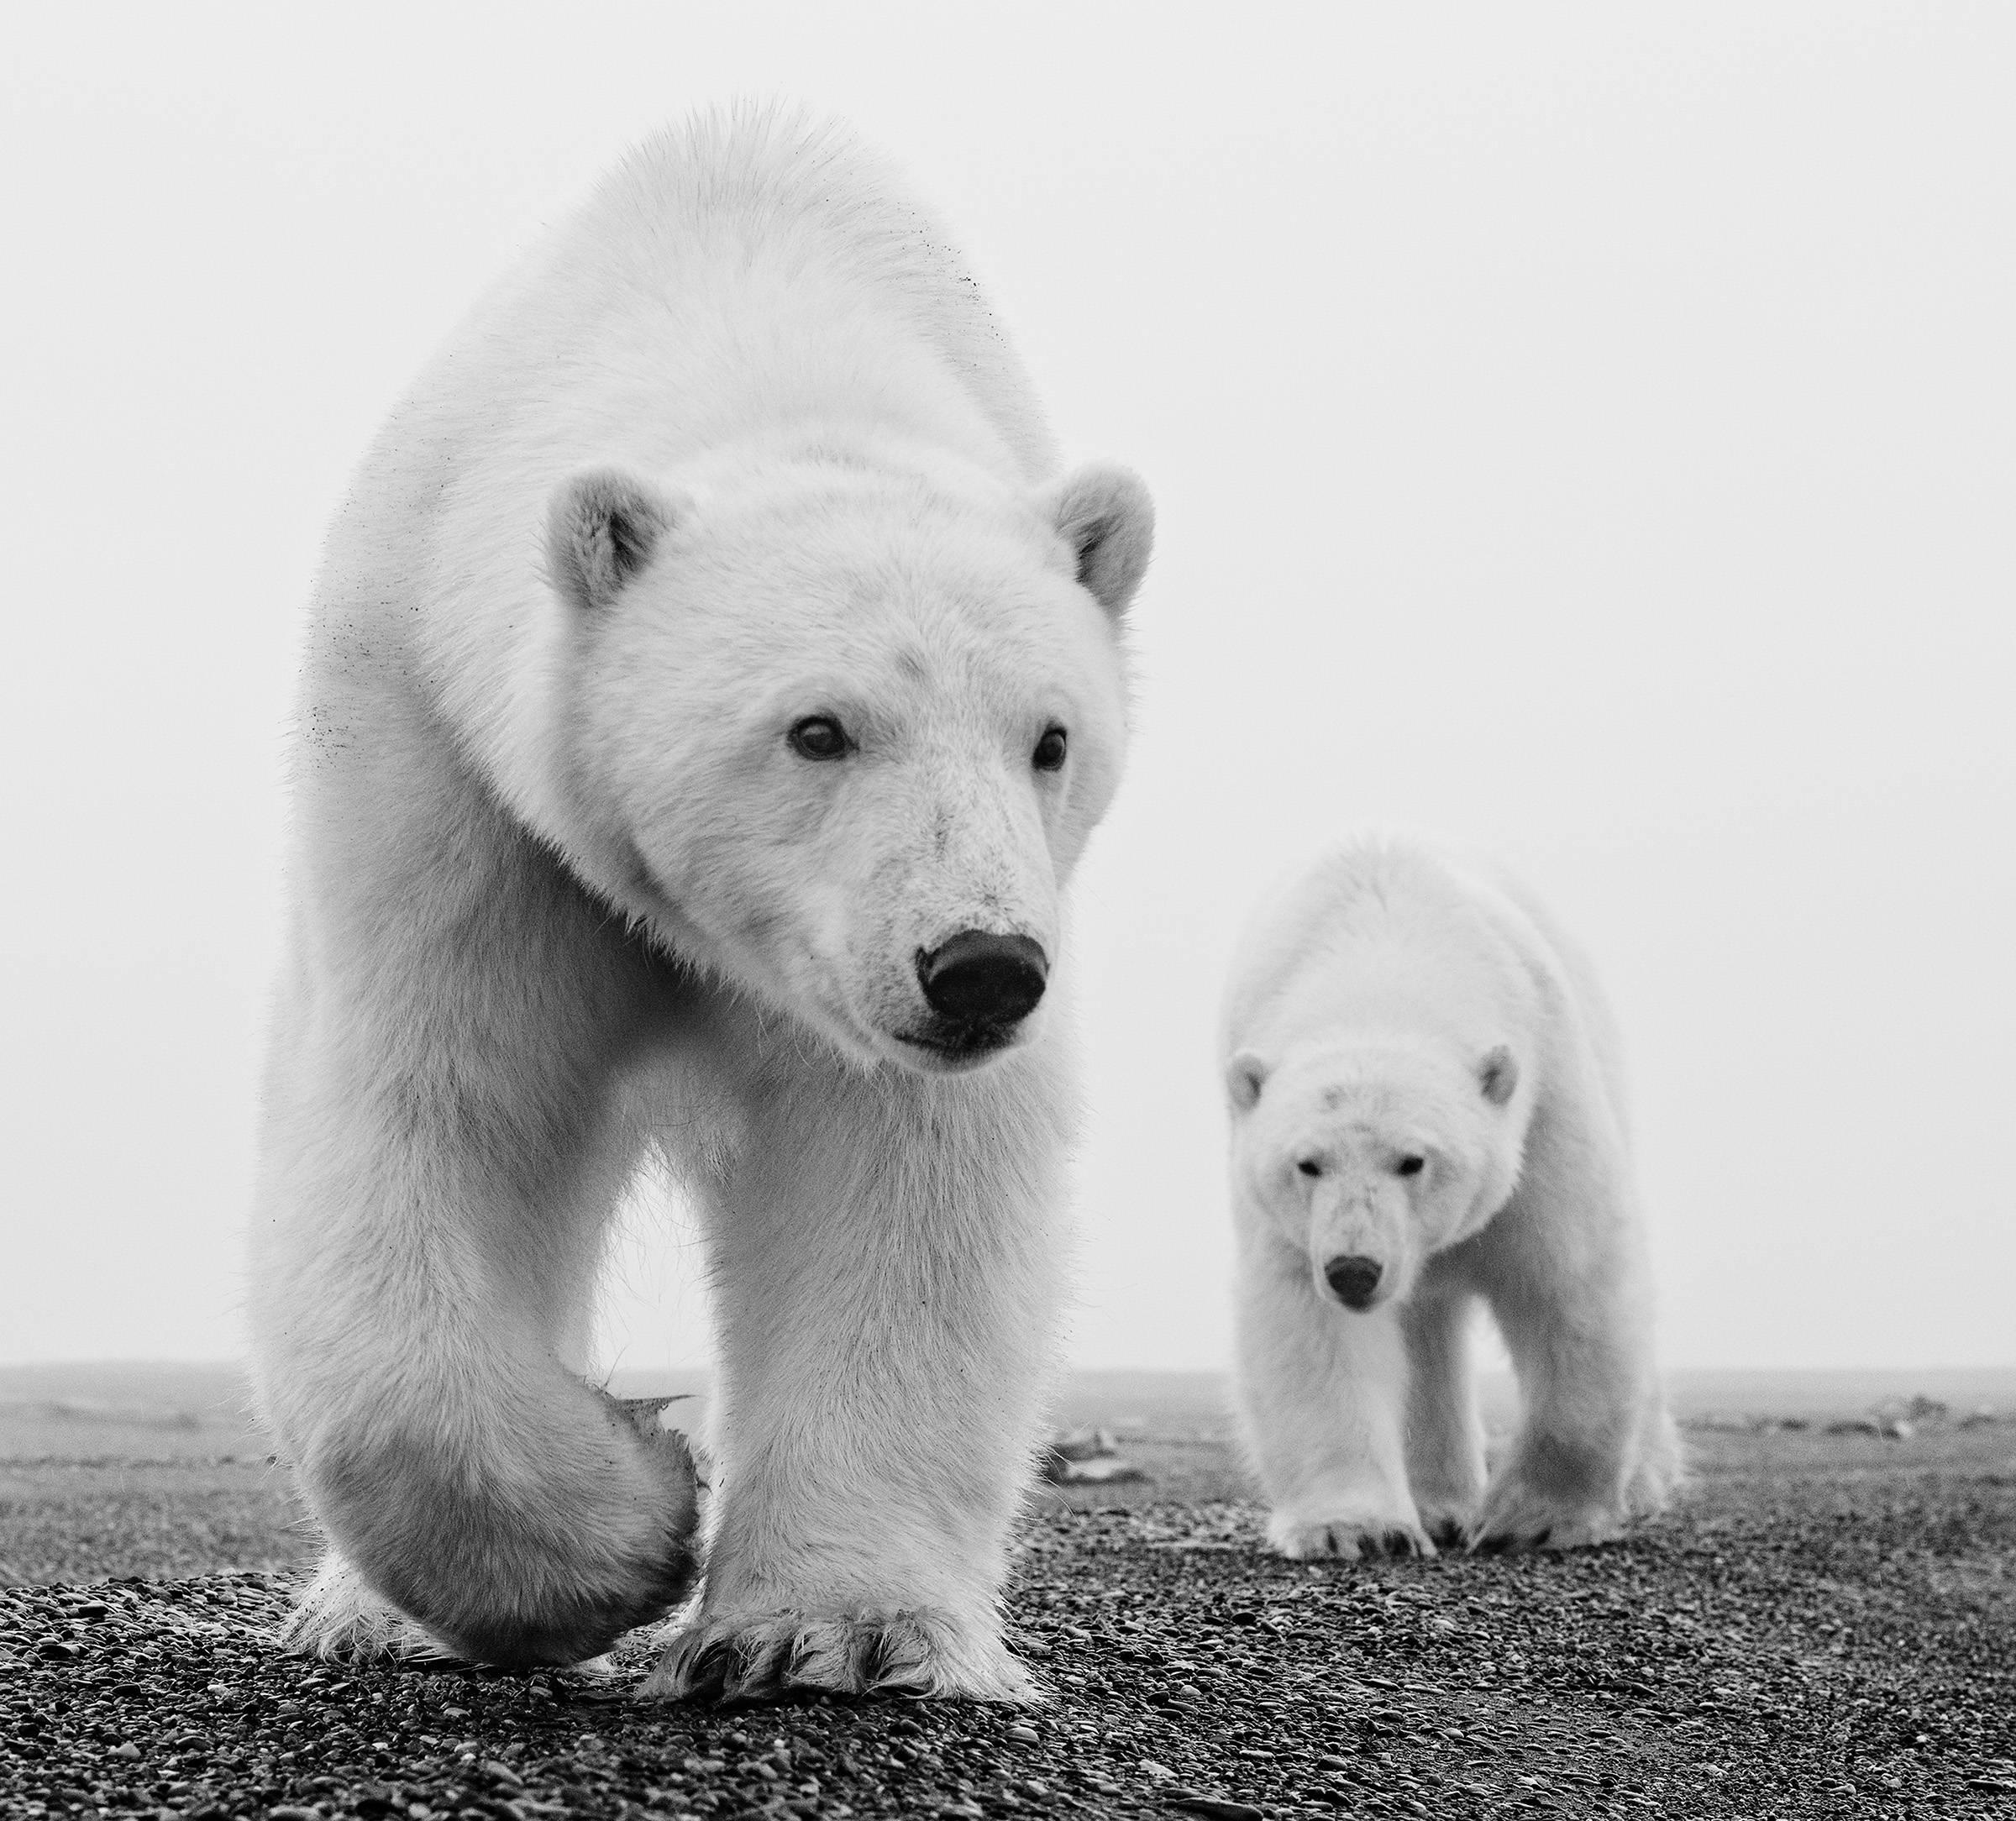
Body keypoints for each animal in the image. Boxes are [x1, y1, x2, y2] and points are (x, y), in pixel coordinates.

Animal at [249, 113, 1161, 1709]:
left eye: (1051, 738)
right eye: (818, 728)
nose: (982, 967)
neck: (743, 284)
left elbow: (902, 1170)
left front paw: (831, 1630)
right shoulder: (452, 775)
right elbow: (432, 1101)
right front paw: (630, 1523)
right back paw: (367, 1608)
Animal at [1217, 838, 1677, 1565]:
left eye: (1414, 1160)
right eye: (1307, 1164)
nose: (1354, 1270)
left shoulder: (1543, 1101)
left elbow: (1568, 1280)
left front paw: (1538, 1520)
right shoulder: (1289, 1220)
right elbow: (1313, 1330)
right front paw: (1357, 1528)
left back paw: (1646, 1482)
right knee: (1426, 1330)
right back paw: (1439, 1507)